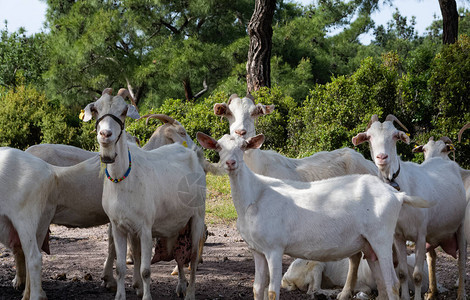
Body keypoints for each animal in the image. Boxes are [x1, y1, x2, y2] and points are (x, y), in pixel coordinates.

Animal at [82, 88, 206, 298]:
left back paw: (190, 293)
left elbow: (145, 269)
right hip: (177, 222)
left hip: (197, 215)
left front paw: (145, 295)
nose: (105, 134)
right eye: (96, 109)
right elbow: (121, 267)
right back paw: (181, 286)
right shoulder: (119, 227)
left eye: (124, 111)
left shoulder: (145, 228)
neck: (124, 179)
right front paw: (120, 295)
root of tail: (192, 155)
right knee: (180, 255)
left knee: (193, 257)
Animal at [352, 115, 466, 300]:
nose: (382, 157)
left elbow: (417, 275)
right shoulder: (398, 236)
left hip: (461, 225)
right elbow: (403, 273)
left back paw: (461, 293)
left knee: (462, 260)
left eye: (395, 136)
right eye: (369, 137)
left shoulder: (420, 234)